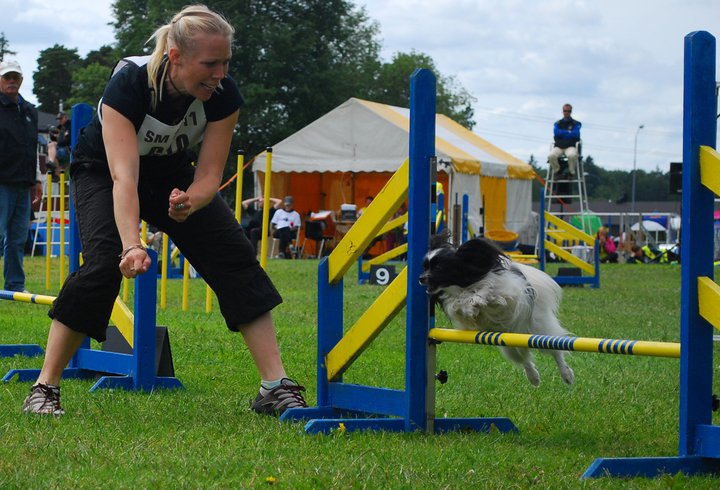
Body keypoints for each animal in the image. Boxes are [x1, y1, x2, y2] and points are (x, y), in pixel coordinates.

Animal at [419, 234, 574, 386]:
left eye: (438, 268)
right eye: (425, 267)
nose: (420, 278)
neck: (465, 286)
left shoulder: (506, 293)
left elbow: (489, 290)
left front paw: (478, 299)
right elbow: (458, 305)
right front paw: (469, 306)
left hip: (539, 332)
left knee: (555, 350)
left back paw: (566, 375)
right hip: (508, 343)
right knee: (524, 359)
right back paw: (533, 377)